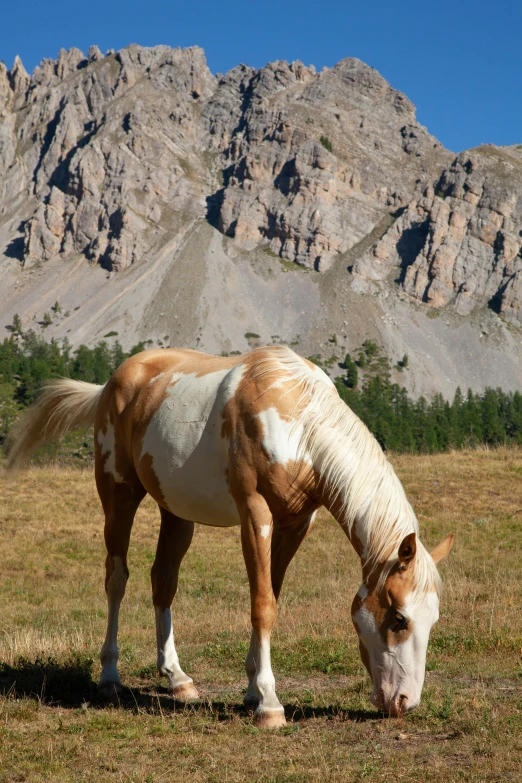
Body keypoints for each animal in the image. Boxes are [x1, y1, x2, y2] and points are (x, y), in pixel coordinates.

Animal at [7, 348, 450, 728]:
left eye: (433, 619)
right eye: (398, 618)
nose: (404, 702)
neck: (296, 419)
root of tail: (114, 382)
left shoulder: (295, 524)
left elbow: (270, 595)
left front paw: (253, 690)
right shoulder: (255, 515)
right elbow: (263, 606)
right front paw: (269, 704)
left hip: (176, 513)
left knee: (162, 581)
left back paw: (177, 678)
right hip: (119, 496)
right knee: (116, 579)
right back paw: (110, 676)